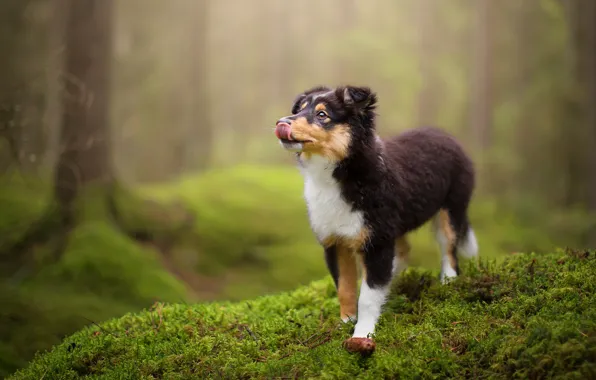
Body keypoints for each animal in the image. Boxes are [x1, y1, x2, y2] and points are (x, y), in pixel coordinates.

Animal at [272, 84, 478, 354]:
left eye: (322, 115)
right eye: (299, 109)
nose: (281, 123)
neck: (340, 173)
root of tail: (447, 135)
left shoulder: (376, 241)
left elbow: (368, 297)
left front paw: (362, 334)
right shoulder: (336, 242)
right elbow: (345, 287)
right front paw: (346, 321)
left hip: (451, 208)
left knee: (449, 249)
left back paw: (448, 281)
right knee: (403, 252)